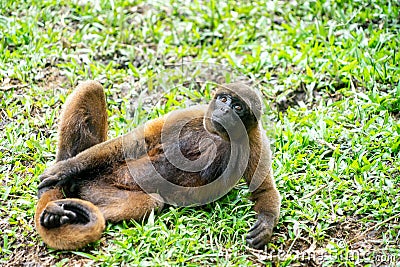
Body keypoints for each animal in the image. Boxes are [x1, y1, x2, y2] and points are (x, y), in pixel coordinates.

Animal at [35, 81, 282, 251]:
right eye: (223, 100)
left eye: (238, 106)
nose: (224, 110)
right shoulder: (194, 113)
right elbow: (135, 142)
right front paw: (66, 169)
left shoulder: (256, 138)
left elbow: (264, 189)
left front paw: (266, 222)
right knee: (92, 88)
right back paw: (57, 182)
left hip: (94, 188)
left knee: (149, 203)